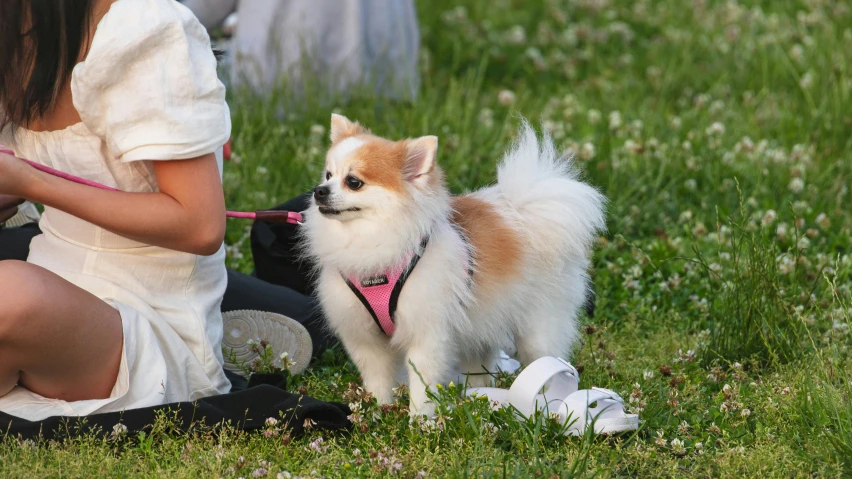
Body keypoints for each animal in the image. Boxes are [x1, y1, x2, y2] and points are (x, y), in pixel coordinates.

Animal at [300, 114, 604, 414]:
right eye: (328, 175)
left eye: (353, 182)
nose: (319, 191)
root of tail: (523, 212)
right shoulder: (366, 338)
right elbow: (378, 382)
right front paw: (377, 413)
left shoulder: (427, 333)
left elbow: (422, 386)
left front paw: (420, 422)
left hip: (538, 330)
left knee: (547, 360)